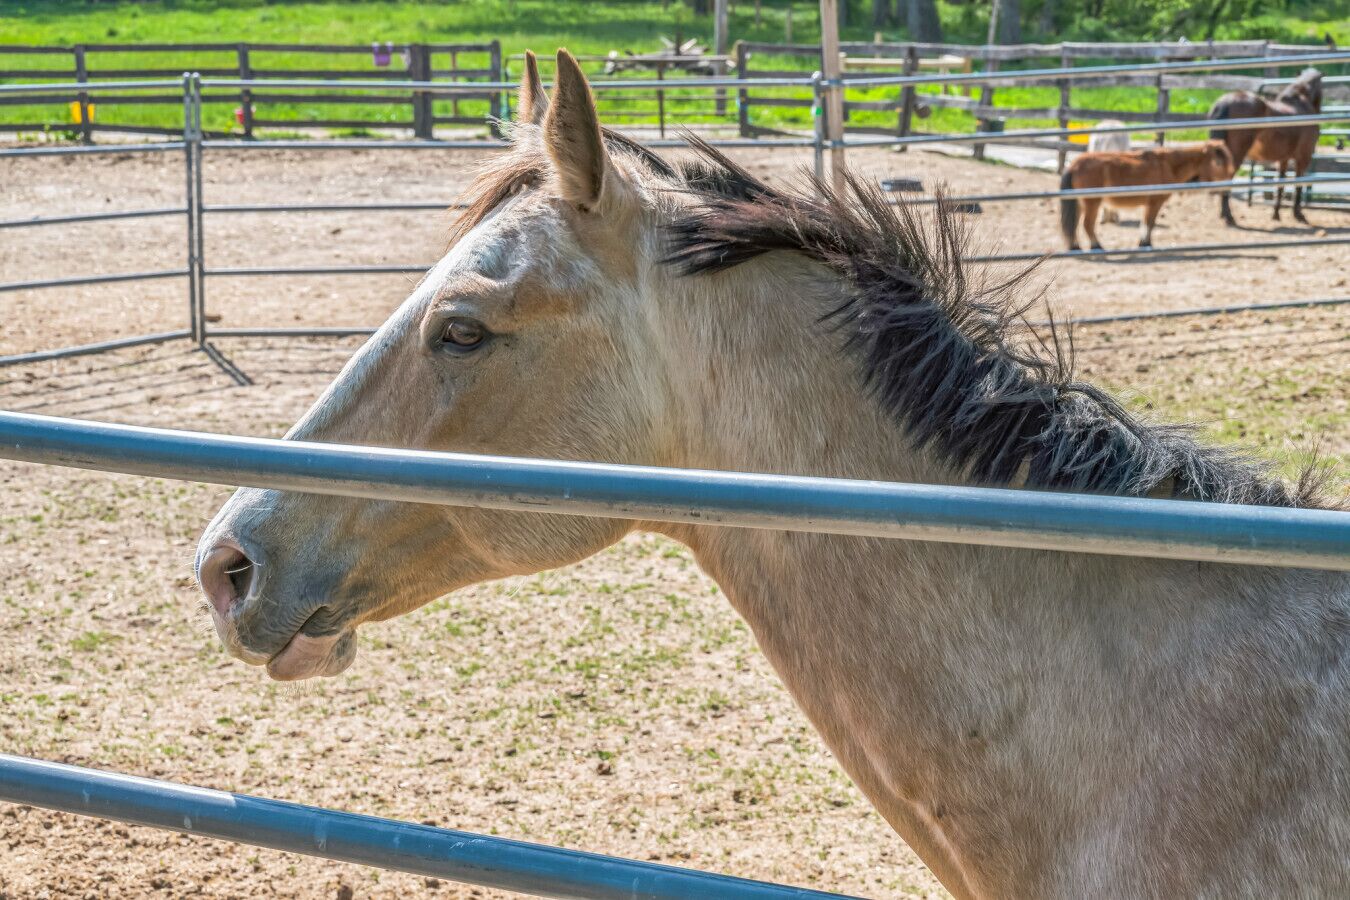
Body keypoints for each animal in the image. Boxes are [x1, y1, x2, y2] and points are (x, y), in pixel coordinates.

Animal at [1059, 142, 1233, 251]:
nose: (1227, 188)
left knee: (1074, 224)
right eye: (1217, 163)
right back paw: (1096, 246)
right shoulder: (1154, 203)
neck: (1168, 165)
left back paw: (1075, 246)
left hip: (1080, 203)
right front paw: (1145, 243)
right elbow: (1149, 223)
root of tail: (1074, 165)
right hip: (1092, 203)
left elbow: (1146, 223)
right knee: (1087, 225)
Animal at [1208, 67, 1323, 225]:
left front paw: (1276, 214)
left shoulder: (1284, 159)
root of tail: (1227, 101)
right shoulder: (1303, 158)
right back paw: (1229, 216)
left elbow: (1280, 185)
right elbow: (1297, 186)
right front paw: (1298, 214)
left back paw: (1224, 214)